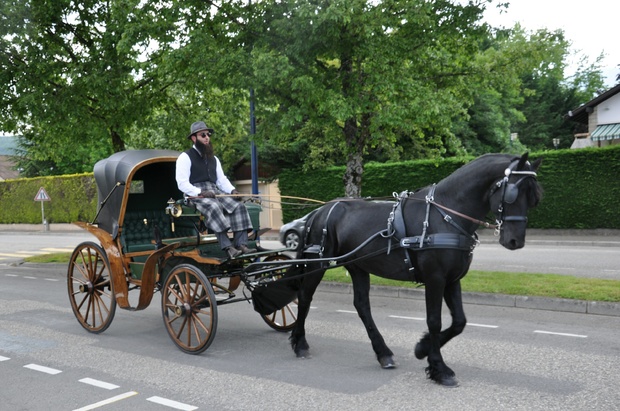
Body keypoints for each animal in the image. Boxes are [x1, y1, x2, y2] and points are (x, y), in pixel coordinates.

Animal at [288, 152, 540, 386]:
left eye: (533, 197)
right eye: (514, 193)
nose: (515, 241)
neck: (445, 215)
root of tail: (320, 211)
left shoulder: (452, 279)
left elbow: (459, 321)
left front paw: (422, 348)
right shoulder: (435, 278)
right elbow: (435, 321)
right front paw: (439, 368)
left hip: (358, 266)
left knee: (362, 306)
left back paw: (383, 353)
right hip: (319, 262)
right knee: (305, 296)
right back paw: (300, 342)